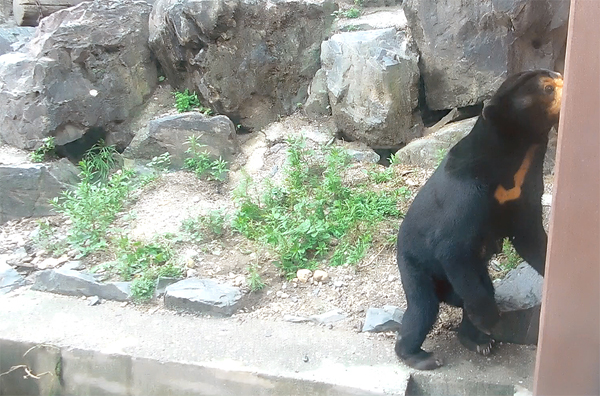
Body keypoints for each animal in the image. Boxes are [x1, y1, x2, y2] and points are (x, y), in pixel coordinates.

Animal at [394, 69, 564, 370]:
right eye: (547, 88)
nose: (565, 83)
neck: (516, 157)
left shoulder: (524, 192)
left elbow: (530, 238)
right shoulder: (467, 193)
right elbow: (452, 247)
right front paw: (489, 320)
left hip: (471, 271)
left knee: (480, 287)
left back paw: (477, 341)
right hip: (414, 264)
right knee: (423, 308)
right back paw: (420, 355)